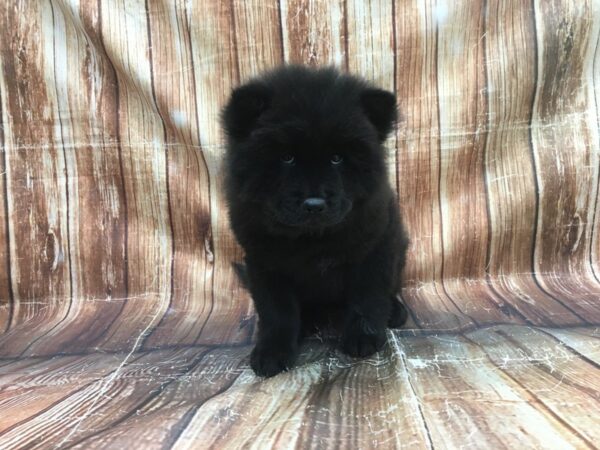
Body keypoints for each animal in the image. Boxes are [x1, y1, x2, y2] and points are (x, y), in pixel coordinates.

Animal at [223, 66, 410, 376]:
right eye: (287, 158)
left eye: (337, 158)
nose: (314, 204)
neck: (312, 240)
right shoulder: (265, 263)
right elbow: (277, 312)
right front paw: (271, 353)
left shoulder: (374, 249)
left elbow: (368, 296)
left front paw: (363, 338)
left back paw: (395, 311)